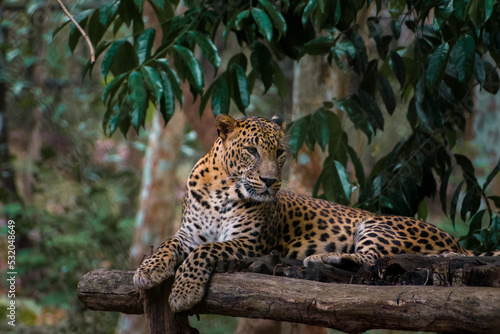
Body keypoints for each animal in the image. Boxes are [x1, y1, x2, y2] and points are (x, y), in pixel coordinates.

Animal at [133, 114, 500, 314]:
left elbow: (204, 251)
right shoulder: (188, 234)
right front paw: (148, 270)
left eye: (280, 153)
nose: (271, 181)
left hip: (378, 224)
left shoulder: (251, 243)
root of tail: (457, 242)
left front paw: (183, 293)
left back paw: (321, 258)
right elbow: (167, 244)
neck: (221, 188)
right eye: (251, 150)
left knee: (371, 259)